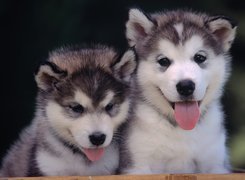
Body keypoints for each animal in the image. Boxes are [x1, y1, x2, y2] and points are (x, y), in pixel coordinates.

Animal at [119, 8, 236, 174]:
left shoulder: (216, 163)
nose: (186, 86)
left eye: (199, 57)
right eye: (163, 61)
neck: (182, 129)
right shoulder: (137, 163)